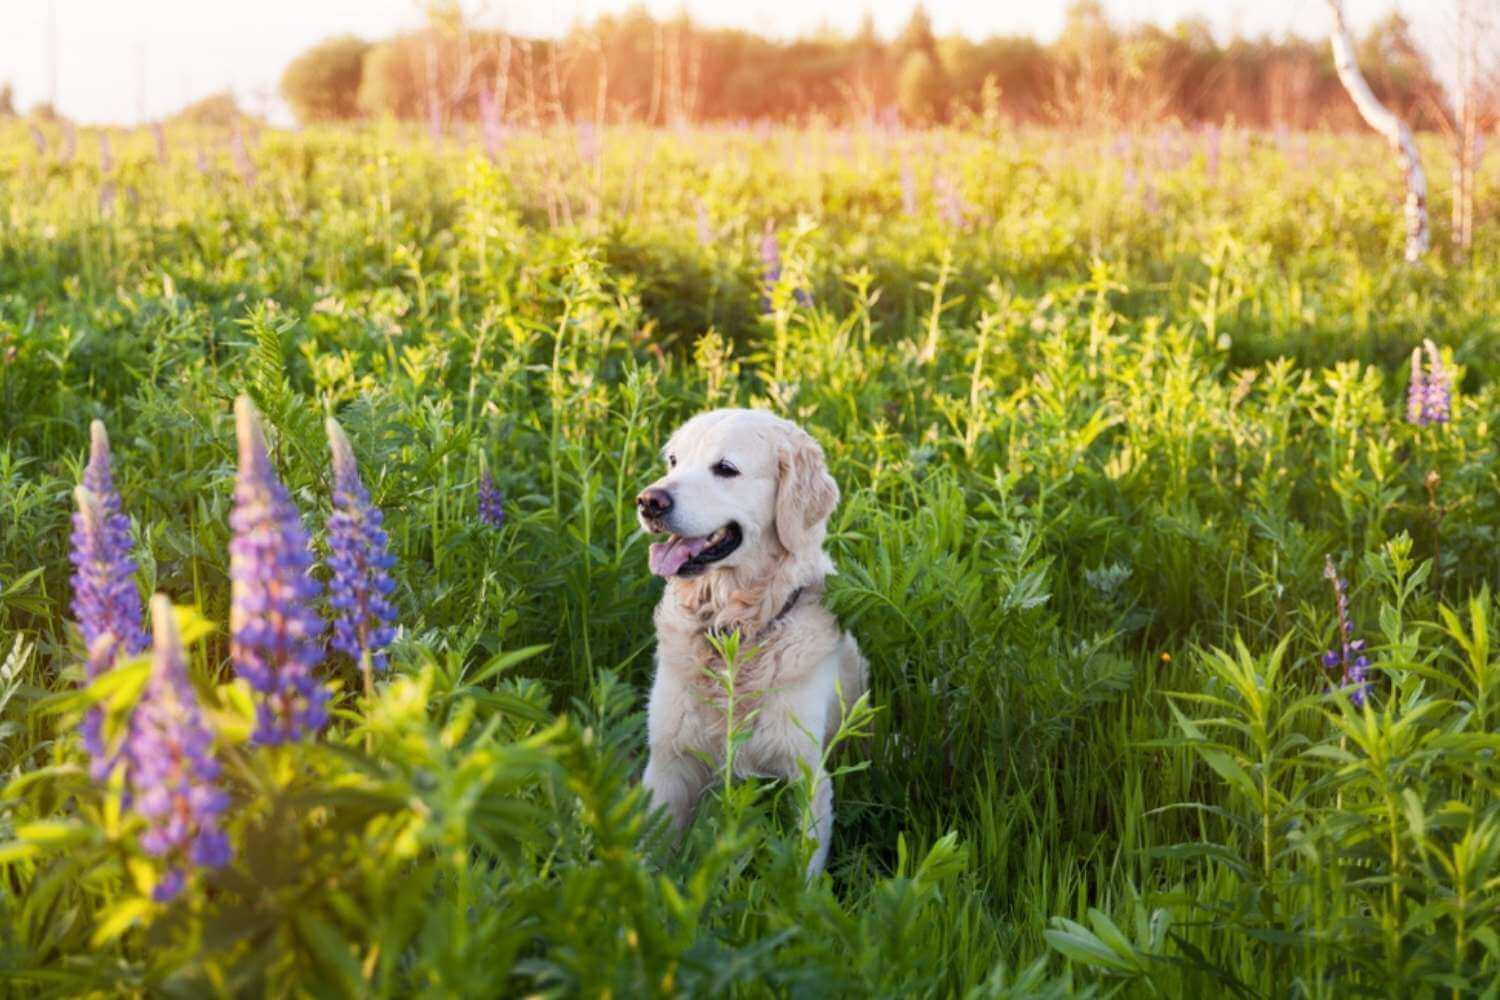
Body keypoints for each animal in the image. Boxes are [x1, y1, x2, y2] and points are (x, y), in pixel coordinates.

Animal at [633, 407, 870, 875]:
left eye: (726, 468)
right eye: (673, 460)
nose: (650, 501)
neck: (733, 630)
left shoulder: (806, 775)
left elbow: (802, 872)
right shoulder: (668, 765)